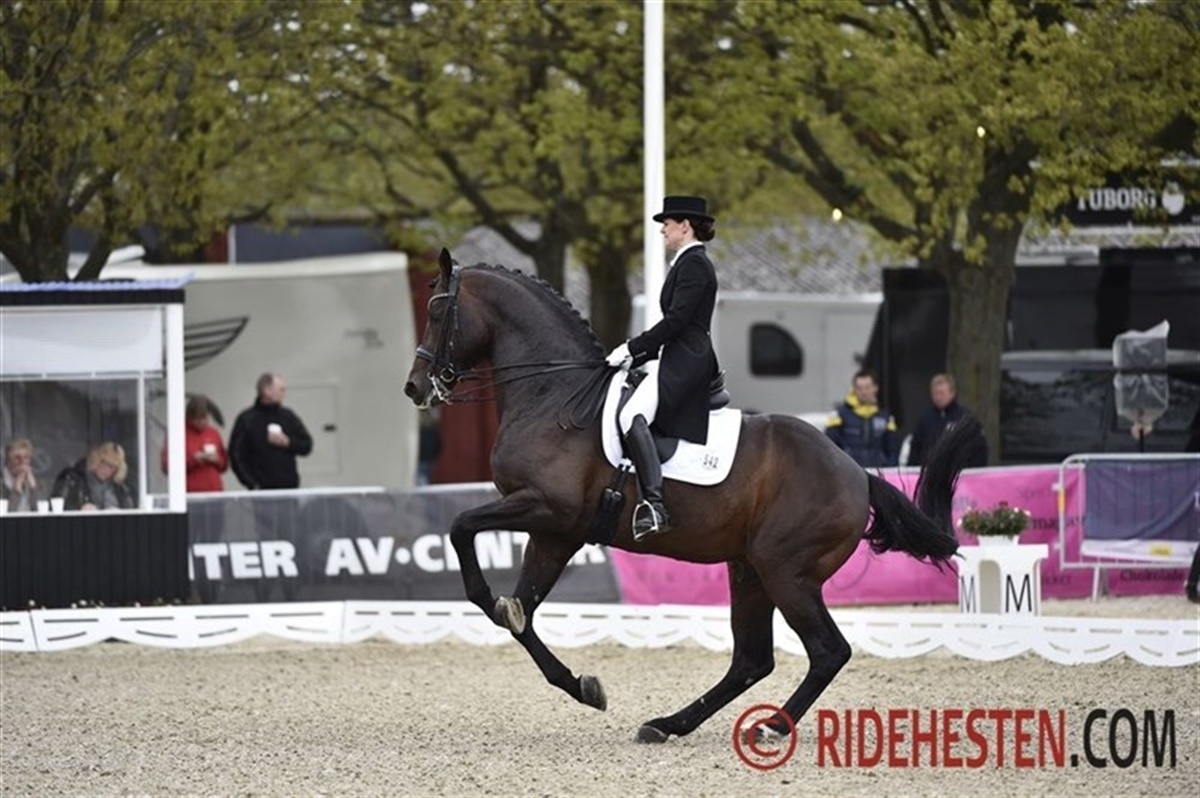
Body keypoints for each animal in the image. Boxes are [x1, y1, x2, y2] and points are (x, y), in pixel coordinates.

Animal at [403, 248, 981, 743]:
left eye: (436, 310)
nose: (415, 387)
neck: (553, 396)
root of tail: (857, 473)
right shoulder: (557, 532)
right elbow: (519, 612)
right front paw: (585, 687)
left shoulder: (545, 508)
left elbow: (462, 531)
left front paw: (495, 603)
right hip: (749, 569)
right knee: (752, 660)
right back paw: (668, 725)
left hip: (786, 571)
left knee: (826, 651)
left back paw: (768, 727)